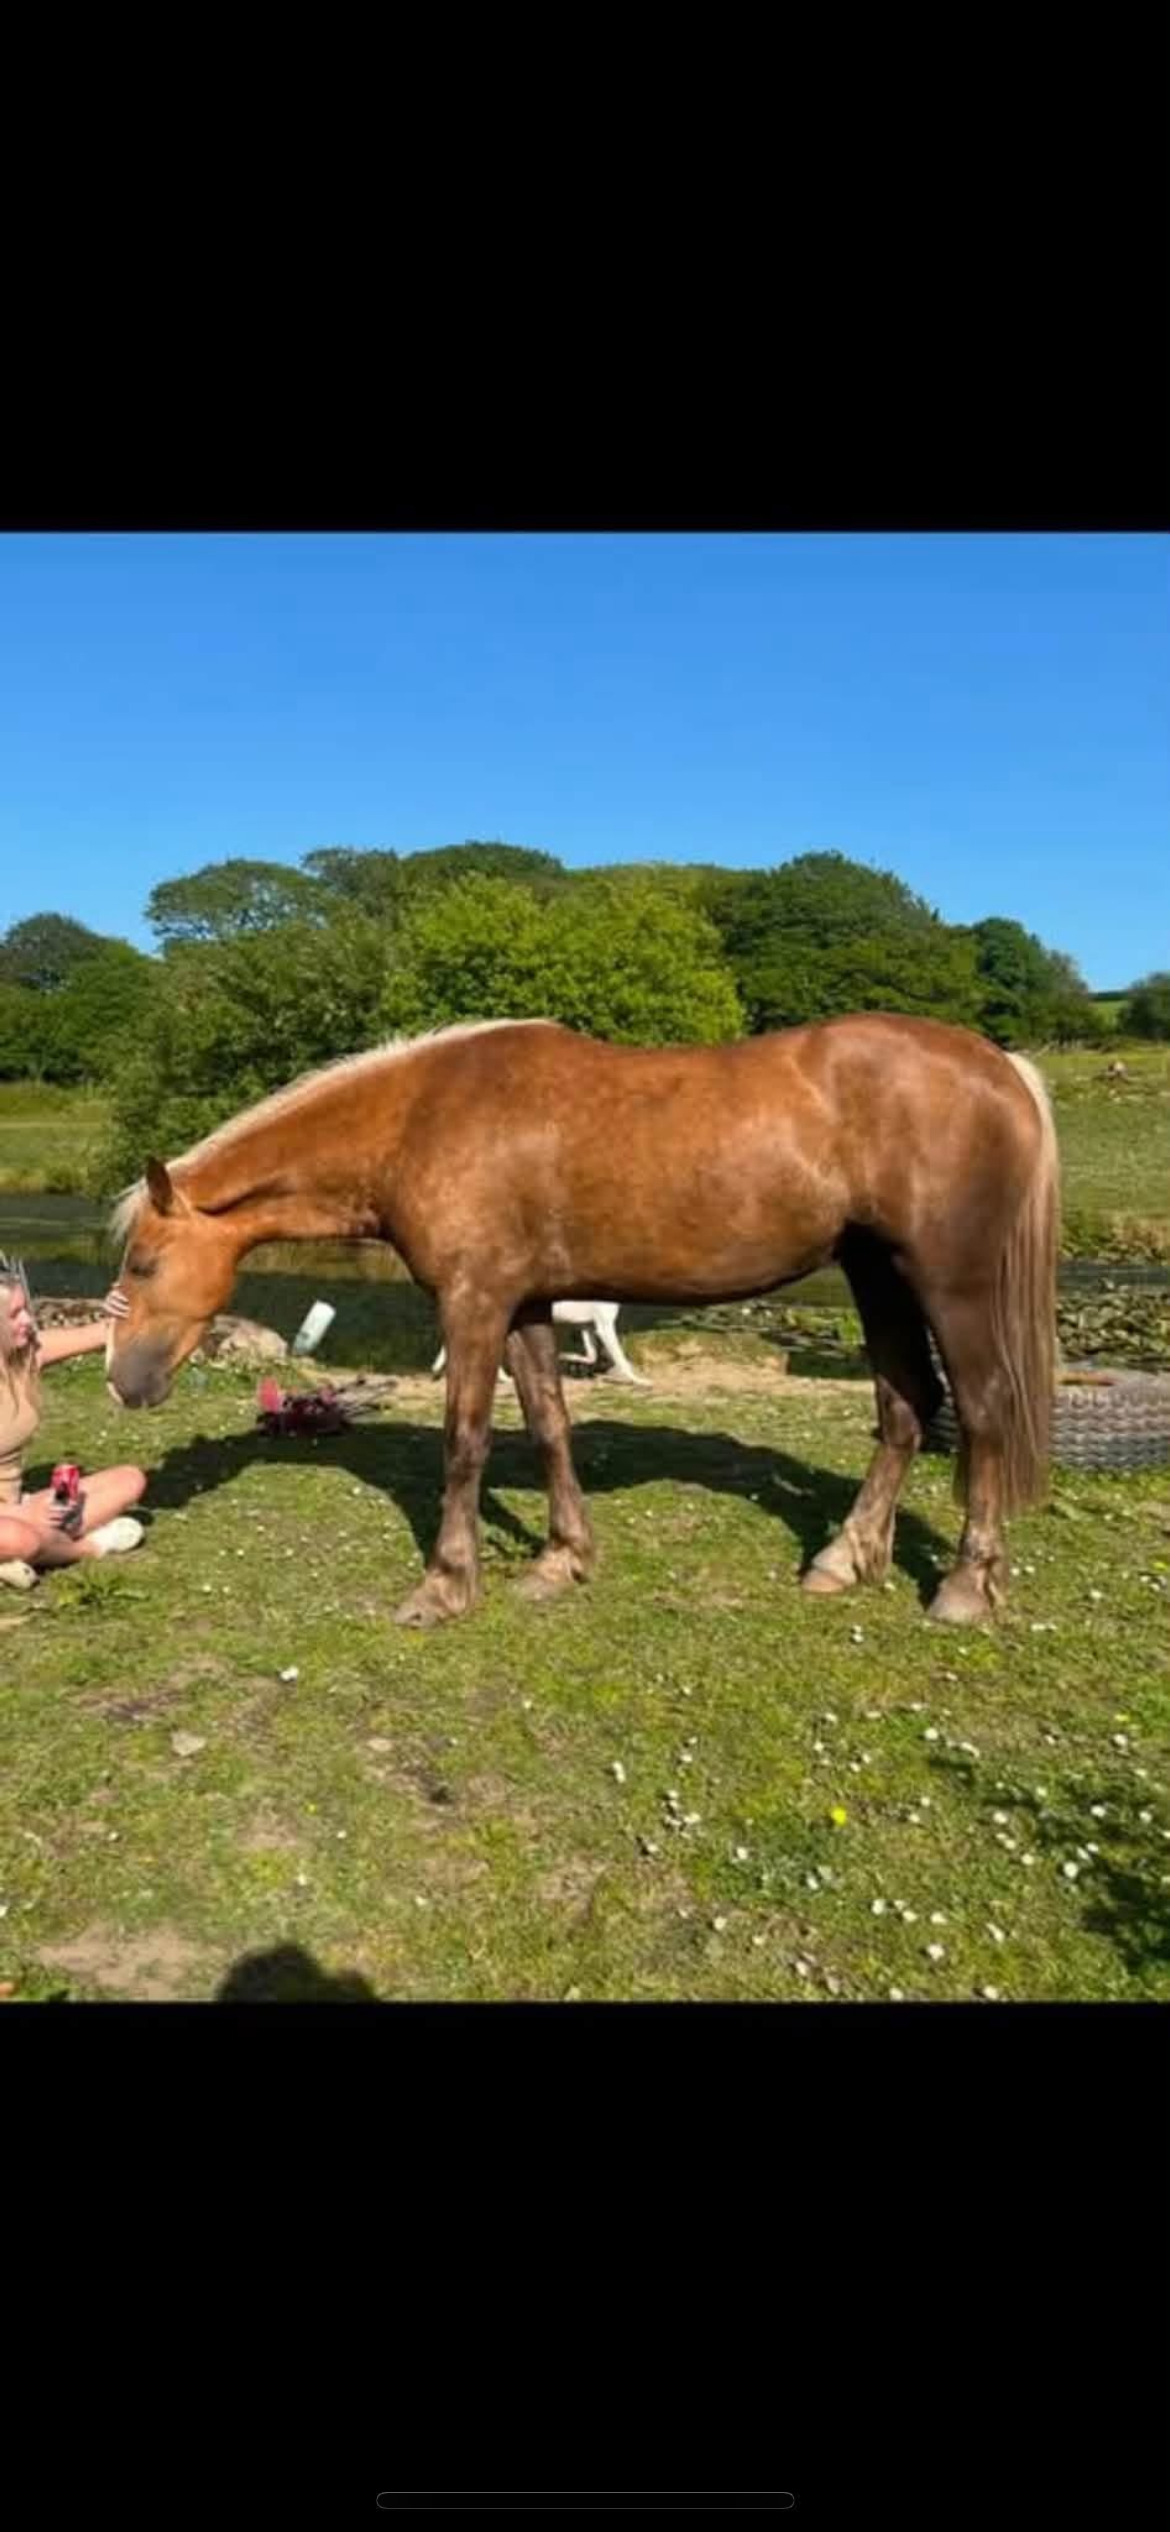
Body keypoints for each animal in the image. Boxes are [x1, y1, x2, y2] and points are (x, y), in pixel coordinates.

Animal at [431, 1297, 651, 1388]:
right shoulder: (604, 1327)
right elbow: (622, 1360)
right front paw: (640, 1381)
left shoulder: (587, 1326)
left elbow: (591, 1356)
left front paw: (565, 1358)